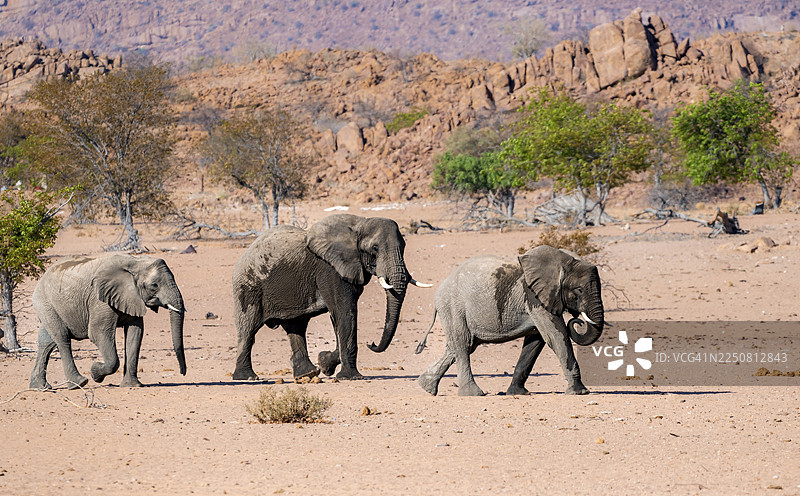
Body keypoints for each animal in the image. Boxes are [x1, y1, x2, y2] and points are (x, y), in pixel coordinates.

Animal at [29, 255, 187, 389]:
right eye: (154, 285)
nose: (183, 373)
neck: (135, 261)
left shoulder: (132, 297)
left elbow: (135, 333)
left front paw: (132, 385)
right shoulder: (100, 300)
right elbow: (98, 333)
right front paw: (95, 372)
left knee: (47, 342)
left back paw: (40, 387)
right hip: (45, 303)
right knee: (62, 338)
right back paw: (79, 384)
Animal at [231, 213, 430, 381]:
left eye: (403, 247)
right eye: (374, 249)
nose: (371, 343)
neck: (359, 224)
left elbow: (339, 319)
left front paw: (325, 363)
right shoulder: (329, 269)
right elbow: (345, 313)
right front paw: (351, 377)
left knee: (296, 327)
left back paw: (307, 374)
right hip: (248, 287)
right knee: (248, 330)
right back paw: (247, 378)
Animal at [416, 245, 605, 396]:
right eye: (579, 290)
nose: (577, 320)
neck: (563, 261)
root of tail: (440, 289)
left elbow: (536, 342)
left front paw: (518, 393)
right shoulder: (534, 297)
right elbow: (557, 337)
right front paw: (580, 392)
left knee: (459, 346)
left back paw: (426, 386)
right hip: (453, 307)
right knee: (463, 344)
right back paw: (473, 394)